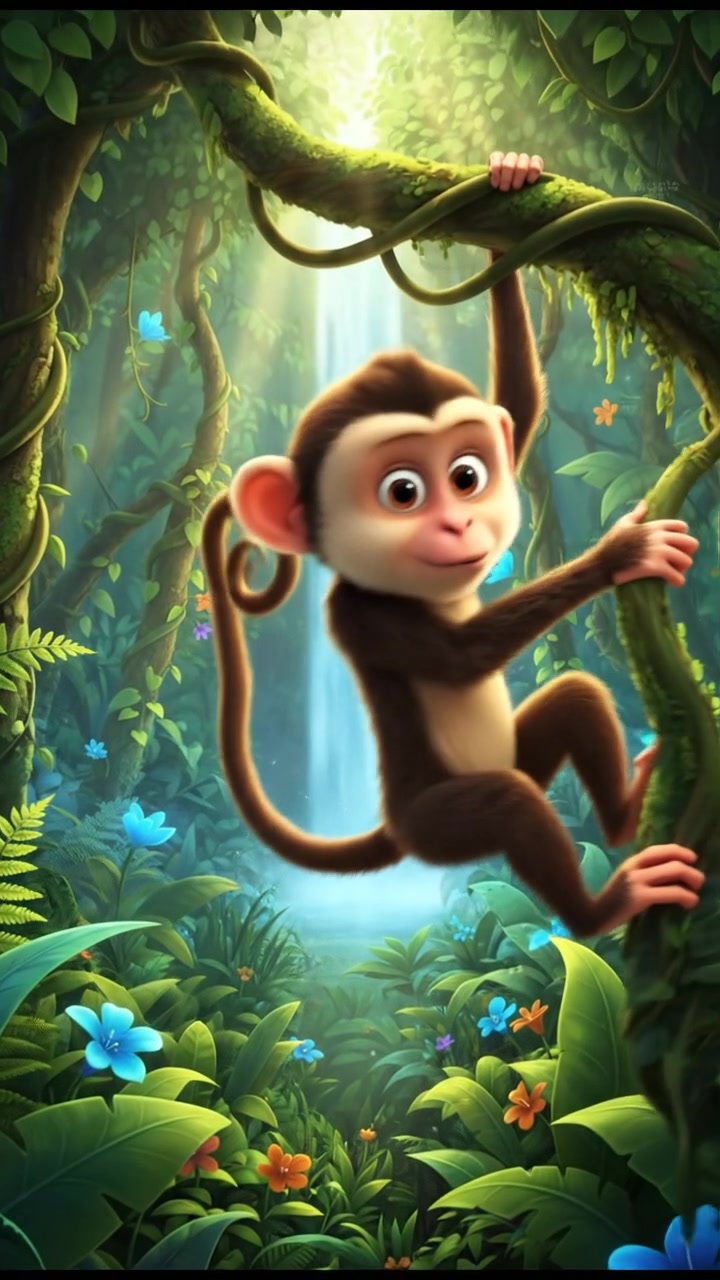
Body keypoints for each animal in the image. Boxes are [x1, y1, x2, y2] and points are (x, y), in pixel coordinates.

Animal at [201, 152, 704, 938]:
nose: (458, 526)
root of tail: (394, 825)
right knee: (511, 805)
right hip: (441, 824)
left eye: (468, 477)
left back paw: (624, 817)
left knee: (575, 697)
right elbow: (465, 655)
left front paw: (507, 181)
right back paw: (603, 909)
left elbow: (520, 409)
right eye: (403, 492)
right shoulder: (361, 613)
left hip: (515, 758)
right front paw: (620, 554)